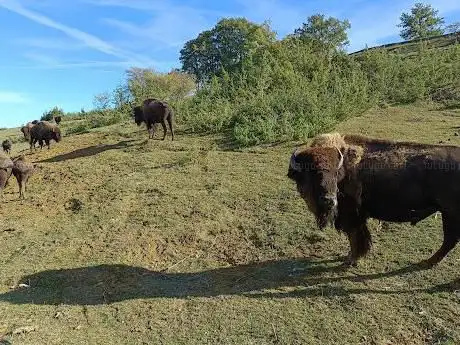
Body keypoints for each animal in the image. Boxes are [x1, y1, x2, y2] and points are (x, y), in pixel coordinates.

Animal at [288, 131, 460, 266]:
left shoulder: (352, 216)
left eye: (335, 173)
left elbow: (355, 236)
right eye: (311, 172)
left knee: (450, 239)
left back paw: (428, 262)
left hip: (449, 213)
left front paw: (352, 259)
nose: (329, 200)